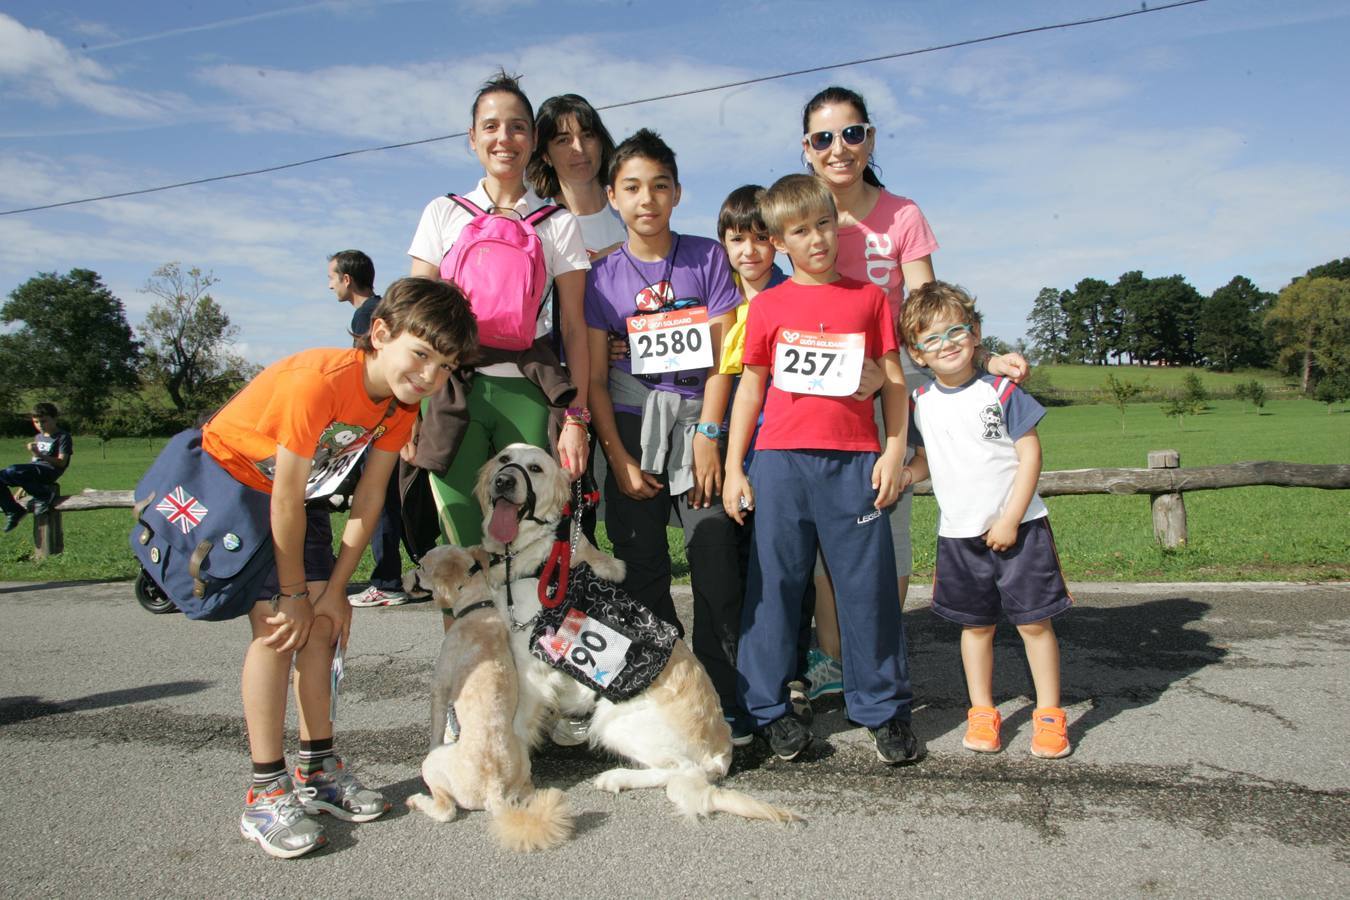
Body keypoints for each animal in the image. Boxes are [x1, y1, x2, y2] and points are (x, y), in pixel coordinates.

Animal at [399, 545, 569, 858]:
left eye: (421, 567)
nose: (404, 579)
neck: (479, 608)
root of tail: (495, 787)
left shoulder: (440, 686)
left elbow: (436, 726)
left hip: (434, 768)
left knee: (446, 810)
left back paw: (417, 800)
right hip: (524, 766)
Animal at [472, 442, 793, 825]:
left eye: (535, 468)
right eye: (504, 460)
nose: (504, 481)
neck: (536, 556)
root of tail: (721, 752)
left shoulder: (532, 674)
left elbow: (517, 728)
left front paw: (507, 779)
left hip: (613, 721)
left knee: (682, 772)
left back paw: (616, 777)